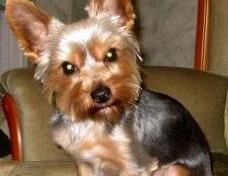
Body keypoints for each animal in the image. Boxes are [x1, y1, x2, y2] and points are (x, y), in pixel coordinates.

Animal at [5, 0, 212, 175]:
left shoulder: (133, 164)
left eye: (111, 54)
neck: (96, 121)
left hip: (176, 169)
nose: (101, 94)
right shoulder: (84, 162)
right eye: (68, 67)